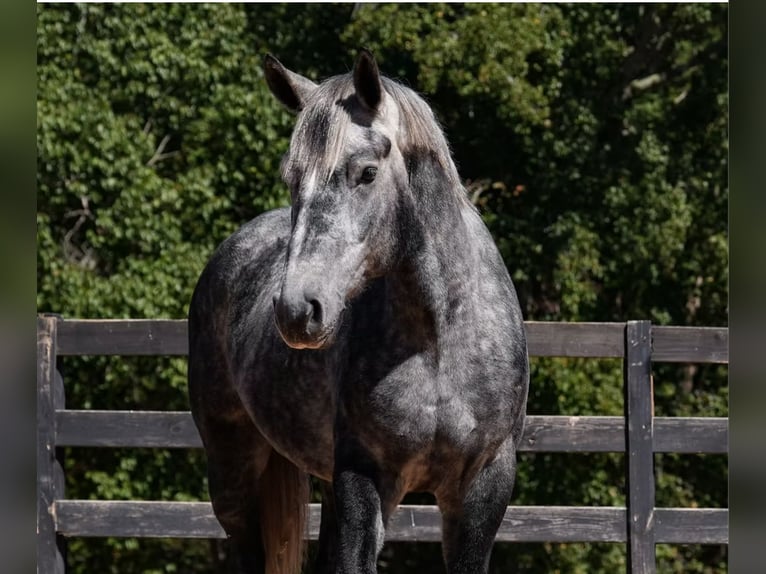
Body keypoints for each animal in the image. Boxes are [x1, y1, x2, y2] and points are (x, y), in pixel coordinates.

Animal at [188, 50, 529, 574]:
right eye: (291, 178)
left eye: (366, 172)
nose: (297, 310)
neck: (439, 343)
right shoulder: (362, 475)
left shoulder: (483, 486)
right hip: (233, 471)